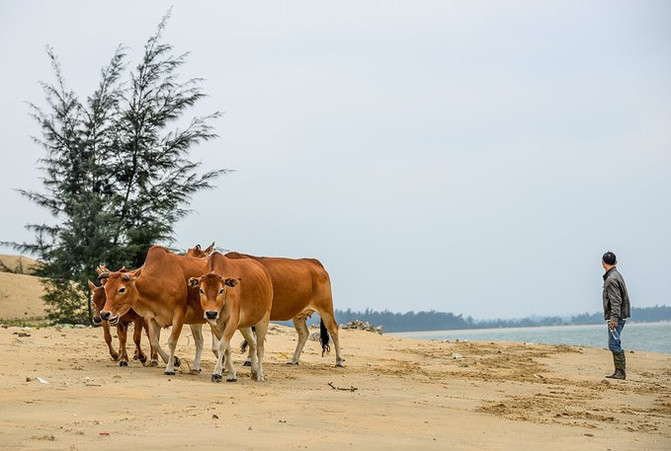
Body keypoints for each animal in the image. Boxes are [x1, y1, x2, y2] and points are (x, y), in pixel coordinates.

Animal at [100, 245, 209, 376]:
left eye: (122, 289)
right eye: (106, 288)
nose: (104, 314)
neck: (159, 281)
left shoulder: (179, 315)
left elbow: (172, 341)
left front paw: (170, 368)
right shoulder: (152, 317)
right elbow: (154, 342)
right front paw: (174, 360)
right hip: (196, 320)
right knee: (200, 341)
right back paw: (196, 368)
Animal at [188, 252, 272, 384]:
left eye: (221, 290)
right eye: (201, 290)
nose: (211, 313)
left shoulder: (232, 322)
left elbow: (222, 345)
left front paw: (217, 373)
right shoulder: (215, 325)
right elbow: (227, 348)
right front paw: (232, 374)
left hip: (263, 320)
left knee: (260, 347)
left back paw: (259, 375)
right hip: (245, 326)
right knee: (252, 344)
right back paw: (253, 371)